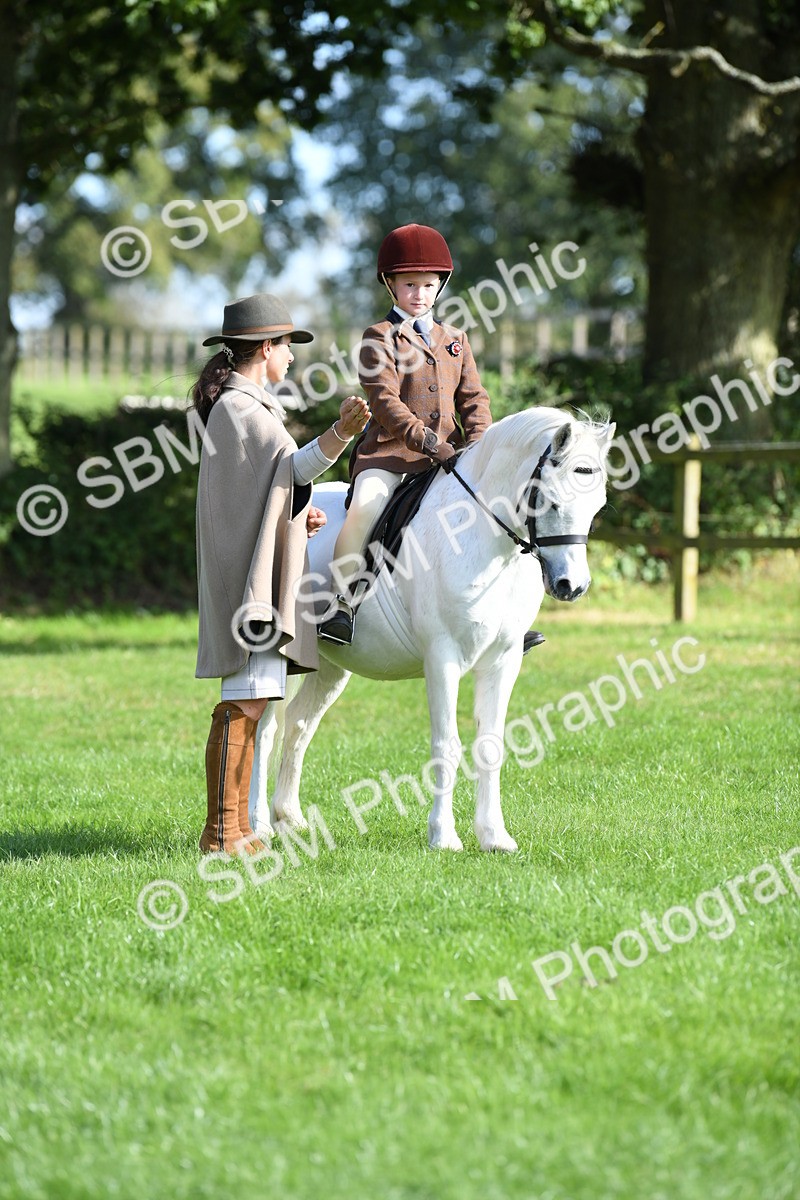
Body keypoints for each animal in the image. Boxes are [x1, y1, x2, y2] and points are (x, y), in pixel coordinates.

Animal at [248, 406, 615, 853]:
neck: (485, 539)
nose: (571, 586)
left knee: (299, 726)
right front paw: (444, 836)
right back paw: (260, 827)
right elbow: (447, 744)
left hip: (330, 666)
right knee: (265, 731)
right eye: (550, 500)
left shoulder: (504, 659)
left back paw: (290, 819)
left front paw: (494, 836)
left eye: (597, 506)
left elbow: (491, 744)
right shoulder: (443, 657)